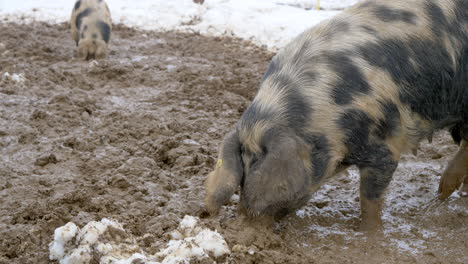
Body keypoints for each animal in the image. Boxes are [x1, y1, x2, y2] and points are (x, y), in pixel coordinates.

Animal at [205, 0, 468, 231]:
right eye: (243, 167)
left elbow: (370, 199)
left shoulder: (385, 143)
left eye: (257, 164)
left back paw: (441, 197)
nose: (241, 227)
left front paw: (370, 234)